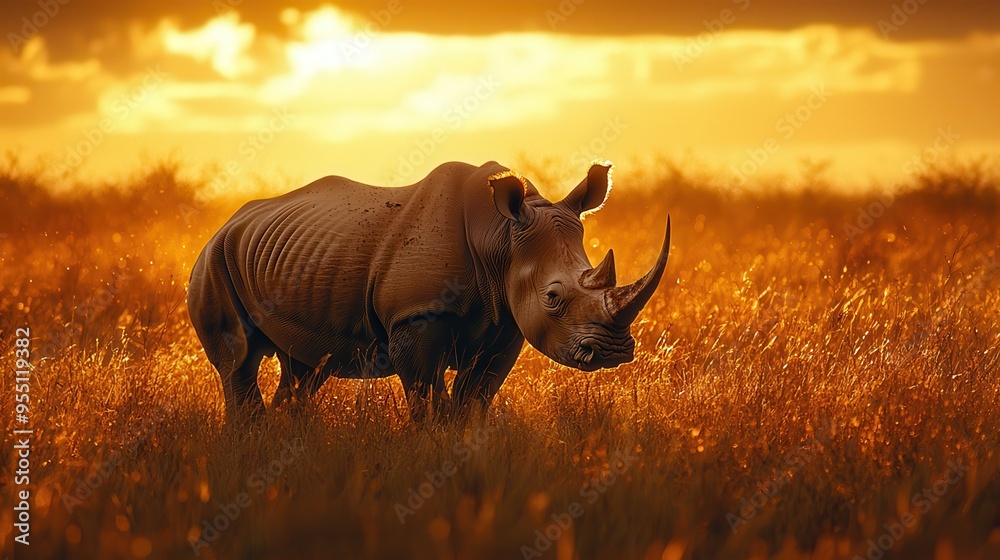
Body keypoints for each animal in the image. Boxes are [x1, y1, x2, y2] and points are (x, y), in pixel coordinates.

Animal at [187, 160, 670, 422]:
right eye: (552, 297)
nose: (612, 351)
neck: (500, 239)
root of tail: (228, 221)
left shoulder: (507, 323)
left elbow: (476, 396)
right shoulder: (417, 313)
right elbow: (426, 395)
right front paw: (430, 448)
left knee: (303, 367)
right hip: (214, 258)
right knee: (238, 359)